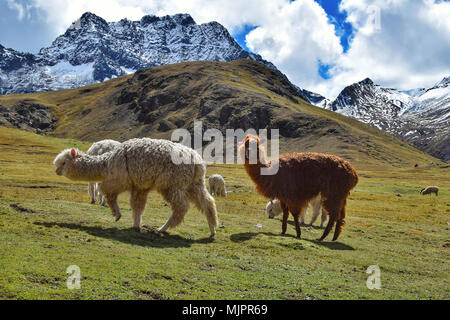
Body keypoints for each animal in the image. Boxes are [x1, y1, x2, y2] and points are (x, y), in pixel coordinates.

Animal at [53, 138, 219, 238]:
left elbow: (108, 193)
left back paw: (162, 229)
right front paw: (136, 225)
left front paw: (117, 215)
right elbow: (137, 206)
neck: (106, 163)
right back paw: (212, 230)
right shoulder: (139, 186)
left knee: (182, 206)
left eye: (63, 162)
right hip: (193, 183)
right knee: (208, 202)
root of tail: (196, 160)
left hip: (172, 184)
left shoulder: (119, 179)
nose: (56, 171)